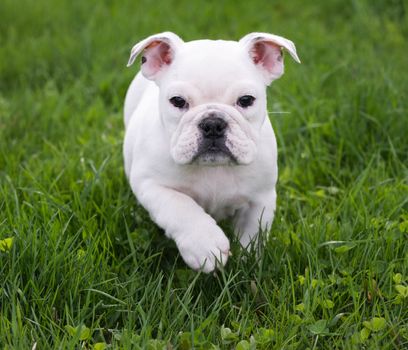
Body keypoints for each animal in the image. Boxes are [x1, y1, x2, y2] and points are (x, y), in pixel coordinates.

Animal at [124, 32, 300, 274]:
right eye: (177, 101)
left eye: (246, 100)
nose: (213, 124)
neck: (215, 168)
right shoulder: (151, 185)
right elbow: (180, 207)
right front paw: (204, 244)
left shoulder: (260, 198)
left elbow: (252, 235)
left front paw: (247, 266)